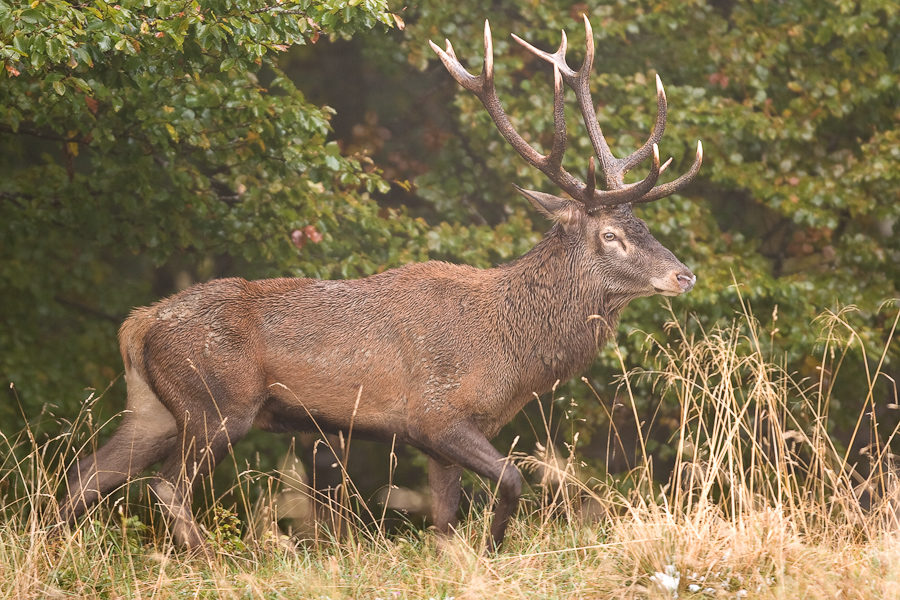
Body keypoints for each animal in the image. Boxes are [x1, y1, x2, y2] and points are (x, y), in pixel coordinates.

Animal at [56, 16, 704, 556]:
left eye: (645, 228)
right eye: (613, 234)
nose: (684, 274)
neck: (511, 357)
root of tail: (138, 323)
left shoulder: (441, 442)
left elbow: (445, 521)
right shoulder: (436, 415)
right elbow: (513, 480)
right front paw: (492, 551)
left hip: (152, 409)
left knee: (83, 477)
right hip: (216, 404)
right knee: (165, 487)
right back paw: (211, 561)